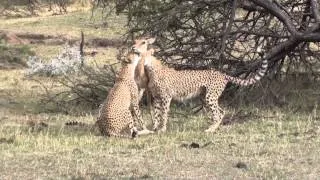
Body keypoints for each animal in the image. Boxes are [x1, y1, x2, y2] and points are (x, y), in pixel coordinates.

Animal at [132, 37, 268, 133]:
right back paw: (213, 127)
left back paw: (210, 130)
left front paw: (162, 129)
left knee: (218, 113)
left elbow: (164, 114)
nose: (133, 48)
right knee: (221, 111)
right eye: (135, 41)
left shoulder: (166, 97)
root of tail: (222, 73)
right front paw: (155, 129)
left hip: (210, 96)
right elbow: (156, 113)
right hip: (204, 97)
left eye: (143, 42)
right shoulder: (156, 98)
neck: (150, 68)